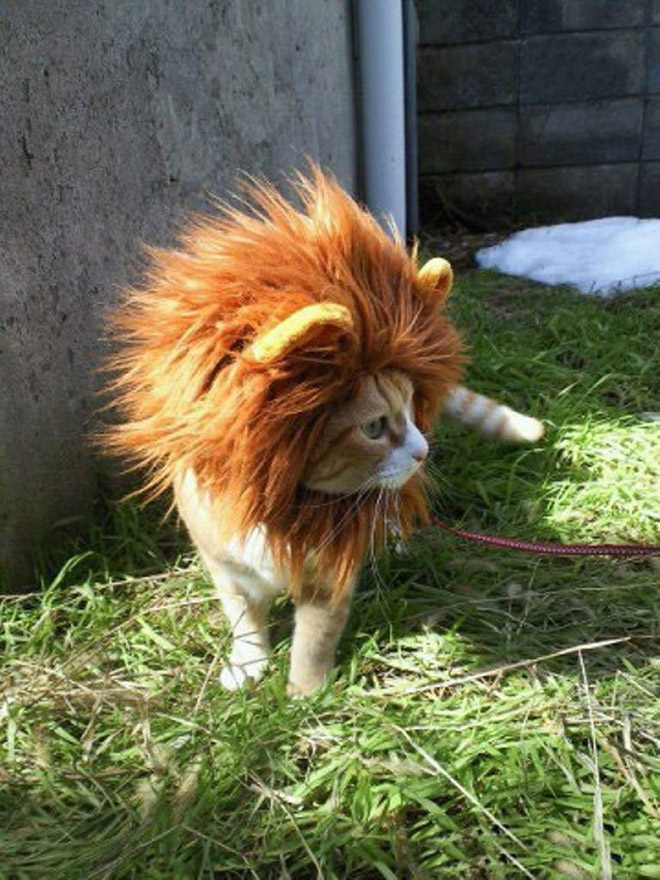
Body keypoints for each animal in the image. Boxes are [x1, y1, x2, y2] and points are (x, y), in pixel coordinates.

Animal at [105, 168, 544, 696]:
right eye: (374, 426)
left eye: (414, 409)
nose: (423, 450)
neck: (282, 506)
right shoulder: (227, 568)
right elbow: (244, 622)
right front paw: (249, 668)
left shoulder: (330, 575)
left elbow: (314, 637)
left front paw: (304, 696)